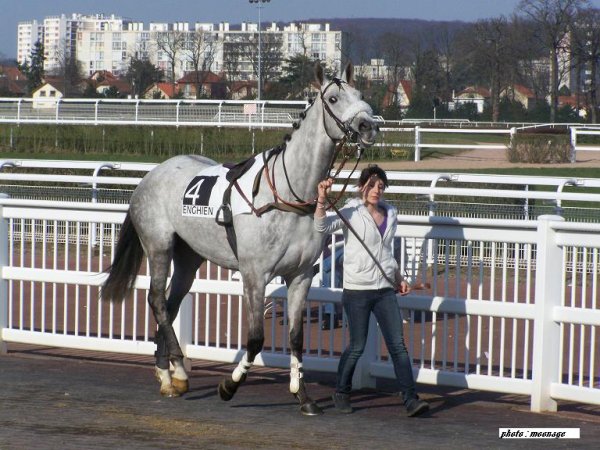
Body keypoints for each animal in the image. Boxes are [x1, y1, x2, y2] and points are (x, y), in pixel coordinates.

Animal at [101, 62, 378, 414]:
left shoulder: (301, 275)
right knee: (157, 300)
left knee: (171, 304)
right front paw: (229, 386)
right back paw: (176, 368)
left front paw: (302, 395)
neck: (286, 195)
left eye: (360, 93)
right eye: (333, 98)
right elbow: (256, 338)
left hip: (189, 258)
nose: (369, 125)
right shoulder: (255, 275)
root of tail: (150, 176)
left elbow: (296, 338)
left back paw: (169, 375)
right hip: (158, 245)